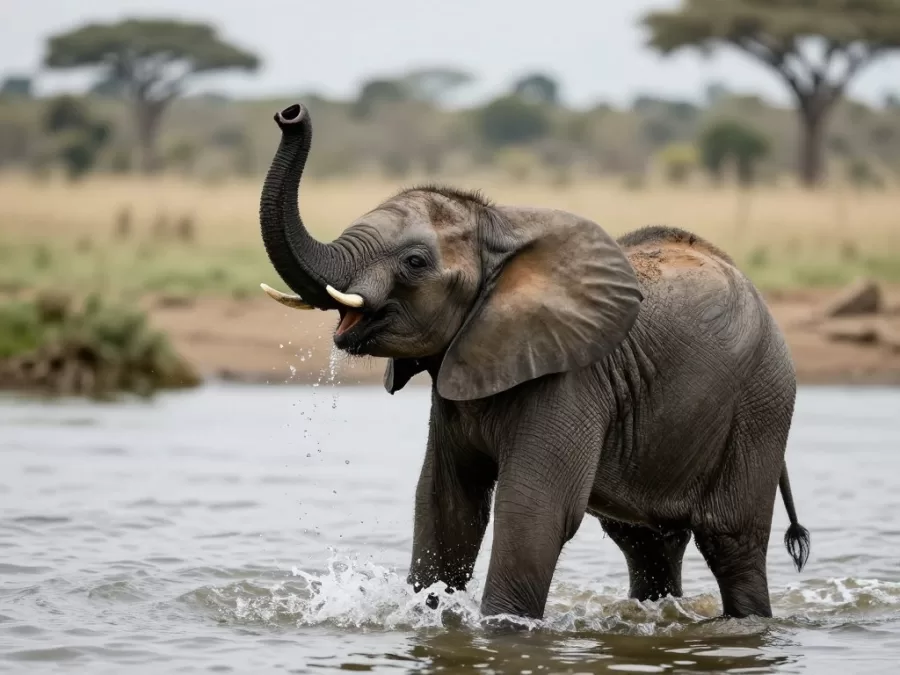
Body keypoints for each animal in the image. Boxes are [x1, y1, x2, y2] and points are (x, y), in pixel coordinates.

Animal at [258, 103, 811, 621]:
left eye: (414, 262)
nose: (289, 114)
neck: (499, 231)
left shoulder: (569, 379)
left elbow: (535, 510)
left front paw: (503, 630)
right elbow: (444, 505)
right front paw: (428, 619)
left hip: (760, 405)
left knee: (731, 541)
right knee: (646, 543)